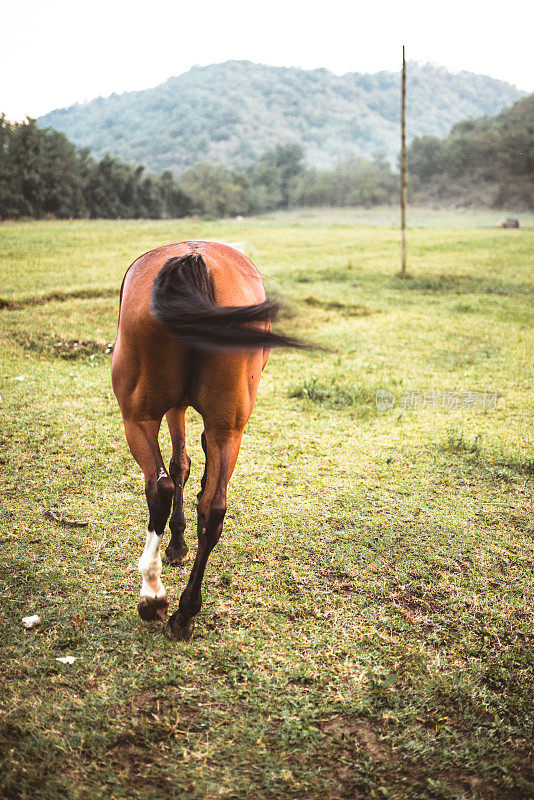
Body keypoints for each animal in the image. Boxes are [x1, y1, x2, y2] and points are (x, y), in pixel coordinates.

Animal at [111, 241, 300, 640]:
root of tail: (192, 258)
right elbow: (188, 471)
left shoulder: (172, 407)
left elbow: (178, 466)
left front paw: (175, 546)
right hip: (227, 429)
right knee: (213, 510)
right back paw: (186, 612)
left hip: (137, 419)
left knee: (160, 487)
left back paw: (153, 596)